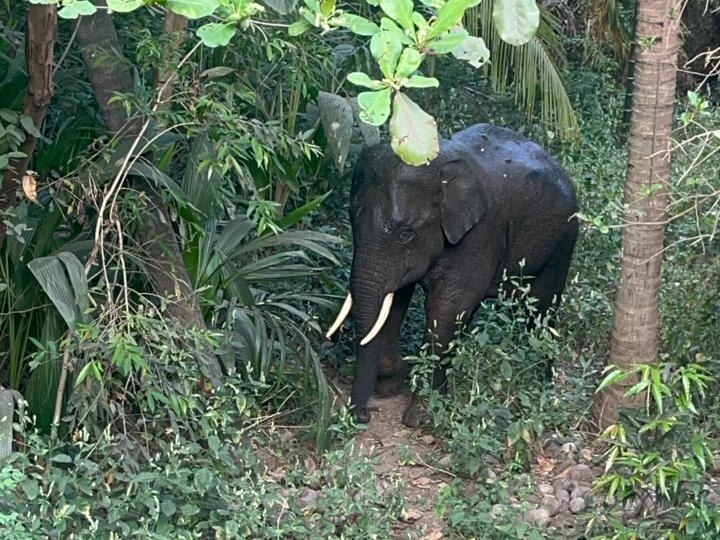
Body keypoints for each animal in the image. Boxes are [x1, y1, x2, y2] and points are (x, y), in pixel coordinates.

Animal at [326, 122, 580, 426]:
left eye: (405, 234)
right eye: (352, 218)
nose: (363, 415)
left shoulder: (481, 233)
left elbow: (447, 308)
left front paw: (421, 419)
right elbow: (397, 299)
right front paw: (393, 381)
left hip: (564, 241)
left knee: (543, 307)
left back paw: (541, 386)